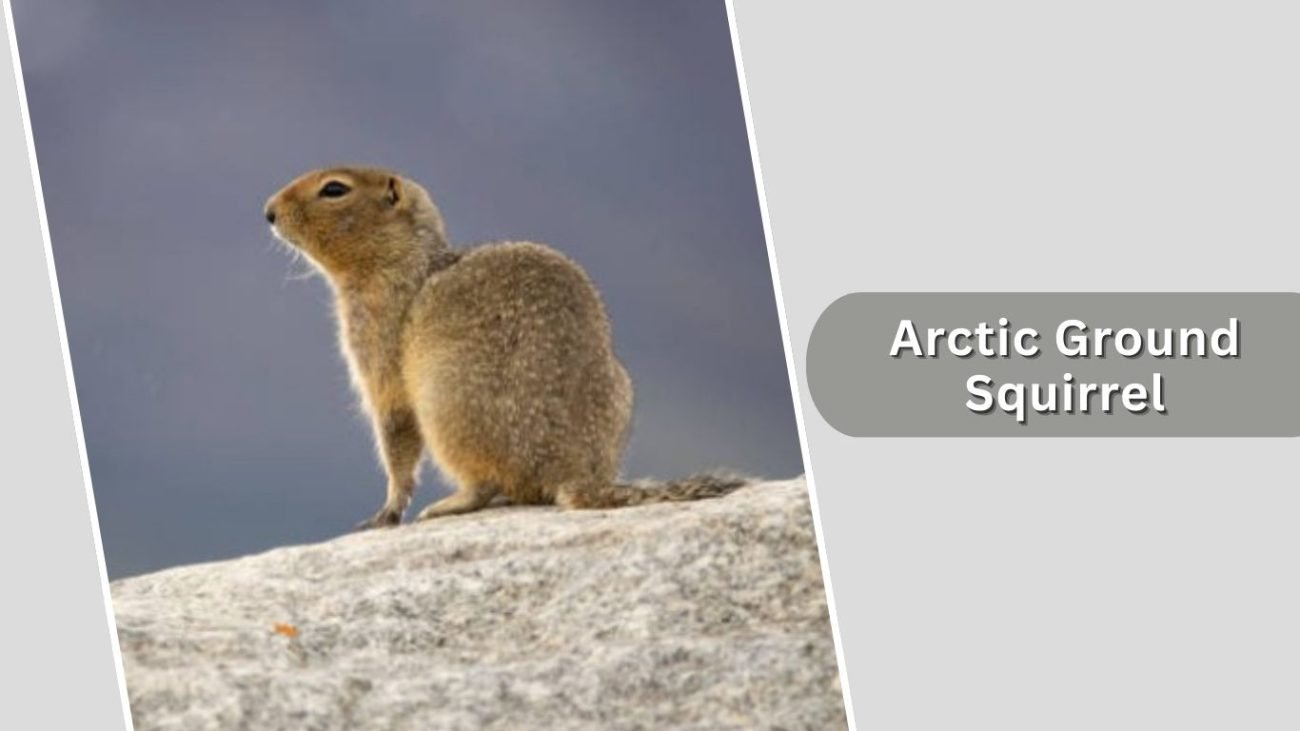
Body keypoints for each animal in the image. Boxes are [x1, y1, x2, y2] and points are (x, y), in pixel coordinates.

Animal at [263, 166, 750, 528]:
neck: (403, 260)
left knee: (485, 483)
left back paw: (448, 504)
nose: (268, 211)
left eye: (334, 188)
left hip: (444, 398)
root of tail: (573, 471)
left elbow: (395, 425)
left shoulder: (376, 340)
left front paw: (385, 513)